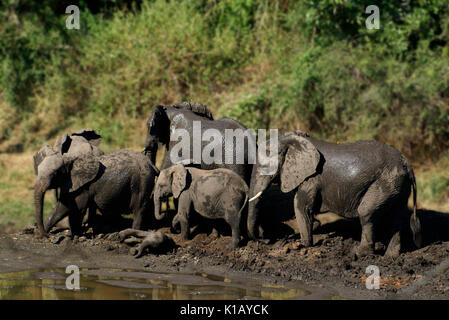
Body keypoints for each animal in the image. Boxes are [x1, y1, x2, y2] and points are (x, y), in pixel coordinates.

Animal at [247, 130, 422, 258]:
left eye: (264, 165)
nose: (265, 240)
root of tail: (407, 163)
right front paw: (315, 225)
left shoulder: (311, 178)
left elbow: (301, 206)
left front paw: (305, 245)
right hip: (397, 186)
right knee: (396, 216)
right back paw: (390, 257)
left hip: (385, 182)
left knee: (366, 212)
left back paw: (358, 253)